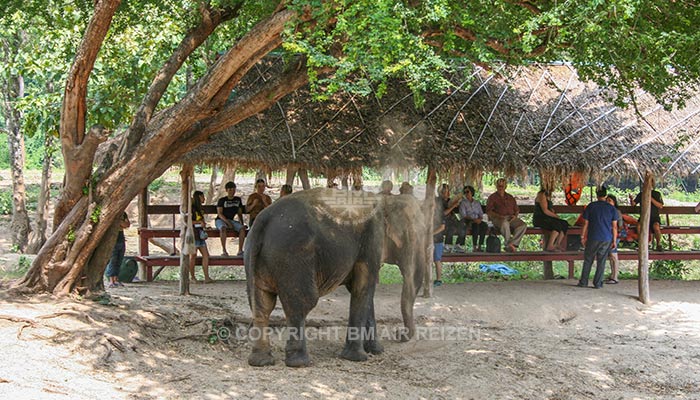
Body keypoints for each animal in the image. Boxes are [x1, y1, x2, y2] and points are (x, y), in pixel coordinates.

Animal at [243, 189, 430, 368]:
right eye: (412, 236)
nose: (400, 334)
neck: (386, 200)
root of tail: (262, 221)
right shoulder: (371, 239)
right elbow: (363, 286)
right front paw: (357, 358)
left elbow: (364, 291)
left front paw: (377, 351)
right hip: (293, 256)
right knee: (301, 304)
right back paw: (300, 362)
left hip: (258, 257)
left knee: (262, 305)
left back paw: (261, 361)